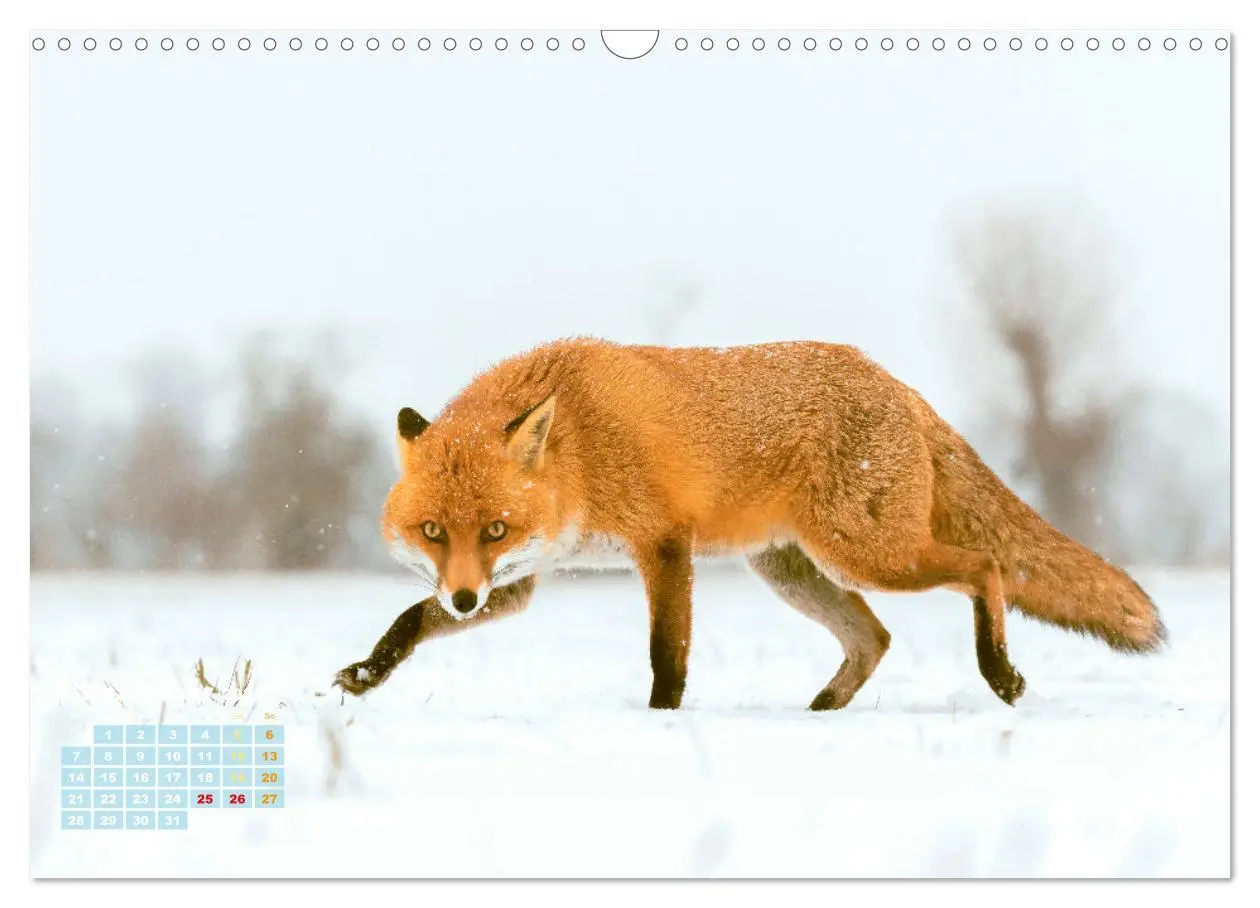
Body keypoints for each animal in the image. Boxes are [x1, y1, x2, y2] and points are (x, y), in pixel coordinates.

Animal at [332, 337, 1166, 710]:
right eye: (435, 533)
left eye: (494, 528)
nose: (462, 599)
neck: (579, 449)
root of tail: (900, 384)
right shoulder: (521, 582)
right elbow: (409, 621)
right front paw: (368, 674)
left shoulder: (663, 543)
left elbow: (666, 655)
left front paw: (661, 724)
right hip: (794, 570)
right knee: (874, 638)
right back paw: (820, 715)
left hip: (866, 552)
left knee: (983, 567)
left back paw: (999, 672)